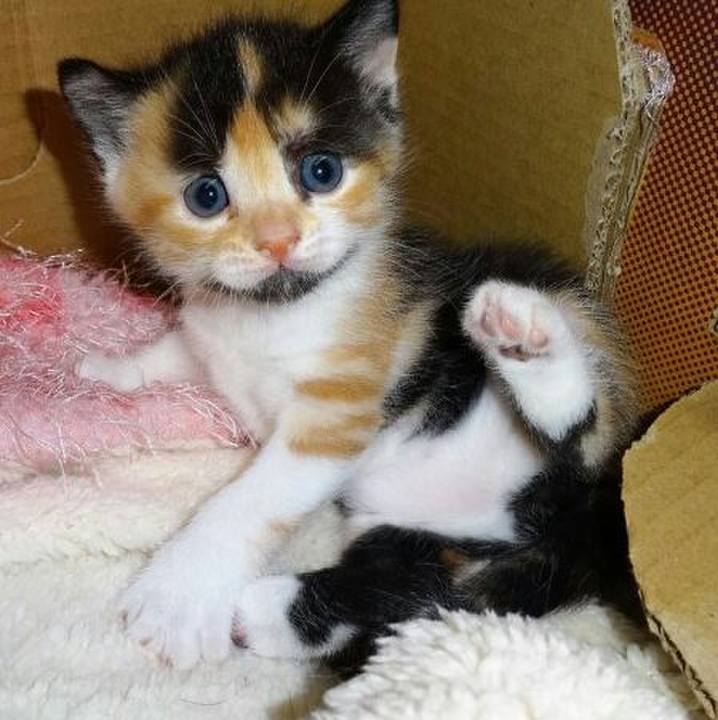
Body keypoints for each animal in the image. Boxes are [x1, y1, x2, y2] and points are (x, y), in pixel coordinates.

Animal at [58, 0, 639, 674]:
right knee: (403, 586)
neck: (270, 313)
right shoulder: (209, 324)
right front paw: (105, 370)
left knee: (579, 437)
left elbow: (253, 496)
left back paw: (522, 335)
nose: (278, 240)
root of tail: (578, 528)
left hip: (570, 360)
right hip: (399, 527)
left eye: (322, 171)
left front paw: (177, 593)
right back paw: (266, 615)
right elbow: (177, 349)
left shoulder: (341, 405)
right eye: (207, 195)